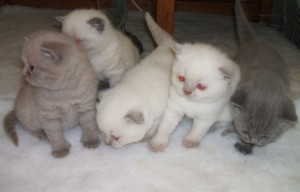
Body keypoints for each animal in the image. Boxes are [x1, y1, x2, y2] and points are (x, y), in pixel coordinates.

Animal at [96, 12, 175, 148]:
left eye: (116, 137)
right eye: (101, 131)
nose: (107, 143)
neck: (134, 88)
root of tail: (167, 45)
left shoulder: (157, 118)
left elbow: (150, 130)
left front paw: (145, 138)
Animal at [230, 0, 298, 154]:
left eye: (265, 137)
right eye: (246, 132)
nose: (254, 140)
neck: (266, 81)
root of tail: (257, 42)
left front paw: (247, 146)